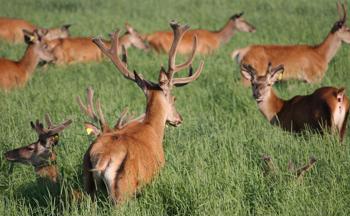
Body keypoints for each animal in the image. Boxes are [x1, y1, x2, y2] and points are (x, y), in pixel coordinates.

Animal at [77, 21, 204, 203]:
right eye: (173, 98)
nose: (179, 119)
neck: (152, 128)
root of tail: (102, 158)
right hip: (124, 187)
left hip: (88, 182)